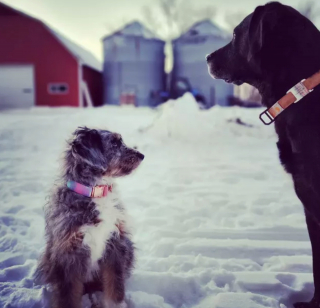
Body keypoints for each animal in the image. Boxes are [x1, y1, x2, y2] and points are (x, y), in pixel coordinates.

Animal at [35, 127, 145, 308]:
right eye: (114, 143)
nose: (141, 155)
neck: (95, 191)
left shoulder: (115, 246)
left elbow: (115, 285)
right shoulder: (68, 255)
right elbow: (68, 296)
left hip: (128, 248)